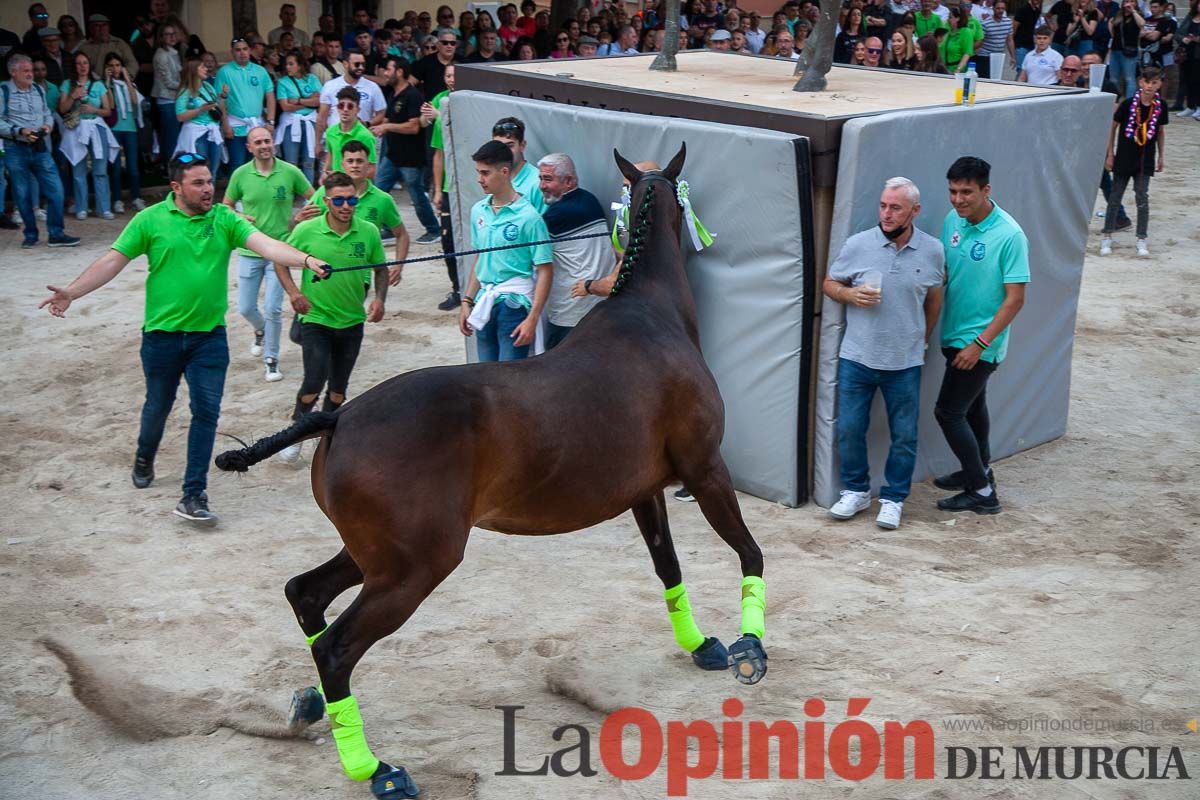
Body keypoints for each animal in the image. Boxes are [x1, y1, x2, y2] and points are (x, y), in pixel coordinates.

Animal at [216, 145, 768, 800]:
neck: (651, 317)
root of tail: (340, 415)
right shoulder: (706, 471)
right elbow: (748, 552)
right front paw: (751, 646)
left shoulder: (644, 493)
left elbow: (668, 568)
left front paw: (702, 645)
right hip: (416, 567)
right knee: (335, 648)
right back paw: (377, 770)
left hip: (378, 556)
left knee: (305, 594)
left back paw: (314, 708)